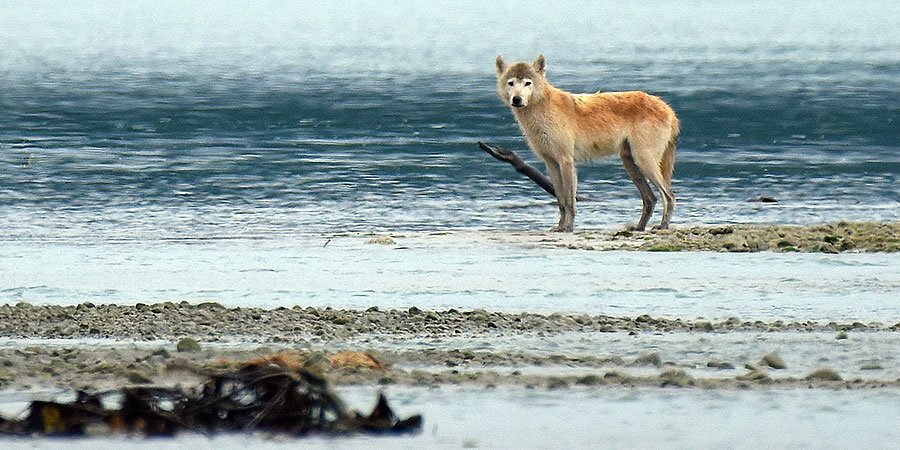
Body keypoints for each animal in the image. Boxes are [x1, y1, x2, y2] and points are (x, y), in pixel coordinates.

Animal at [496, 53, 680, 232]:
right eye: (511, 83)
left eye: (527, 83)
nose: (517, 99)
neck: (542, 110)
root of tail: (668, 108)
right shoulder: (551, 163)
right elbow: (560, 201)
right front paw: (559, 226)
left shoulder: (566, 160)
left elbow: (569, 201)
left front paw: (568, 228)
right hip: (631, 164)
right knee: (651, 198)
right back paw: (639, 227)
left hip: (644, 161)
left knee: (669, 196)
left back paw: (663, 226)